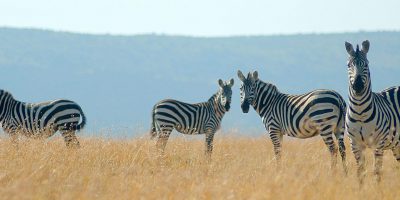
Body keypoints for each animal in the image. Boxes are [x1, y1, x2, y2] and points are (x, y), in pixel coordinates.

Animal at [344, 40, 400, 183]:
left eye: (366, 64)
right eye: (349, 65)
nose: (357, 86)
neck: (359, 112)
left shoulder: (378, 144)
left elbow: (377, 172)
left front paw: (376, 188)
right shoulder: (355, 145)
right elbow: (360, 172)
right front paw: (361, 188)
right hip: (397, 144)